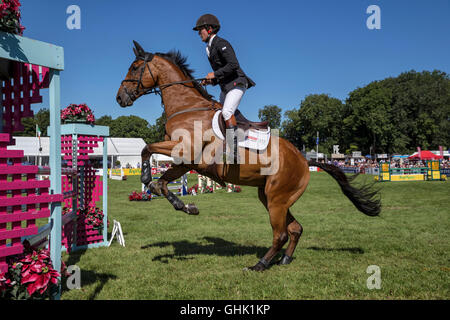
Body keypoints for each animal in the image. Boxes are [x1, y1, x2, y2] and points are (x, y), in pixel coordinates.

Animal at [116, 41, 380, 272]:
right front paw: (183, 204)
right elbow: (159, 178)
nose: (120, 98)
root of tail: (305, 159)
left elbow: (148, 152)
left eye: (135, 67)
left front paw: (161, 188)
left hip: (277, 199)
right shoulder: (186, 161)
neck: (187, 107)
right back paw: (284, 260)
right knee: (295, 229)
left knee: (280, 234)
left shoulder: (185, 153)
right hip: (272, 197)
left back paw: (259, 265)